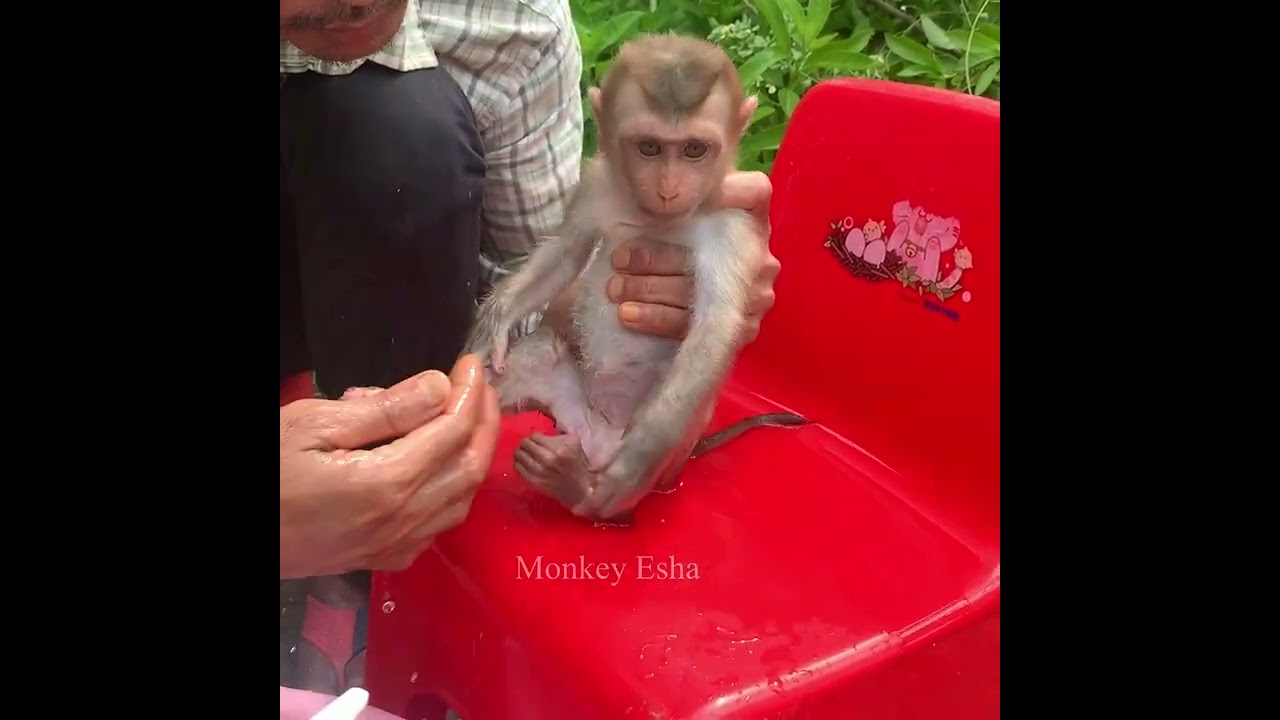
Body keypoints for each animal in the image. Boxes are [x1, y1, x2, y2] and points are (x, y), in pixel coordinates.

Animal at [465, 33, 807, 522]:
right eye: (649, 147)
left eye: (694, 149)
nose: (668, 188)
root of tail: (595, 440)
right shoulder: (596, 184)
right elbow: (566, 253)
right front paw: (495, 321)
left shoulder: (730, 226)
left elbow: (716, 323)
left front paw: (642, 452)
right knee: (539, 354)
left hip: (665, 458)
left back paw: (586, 493)